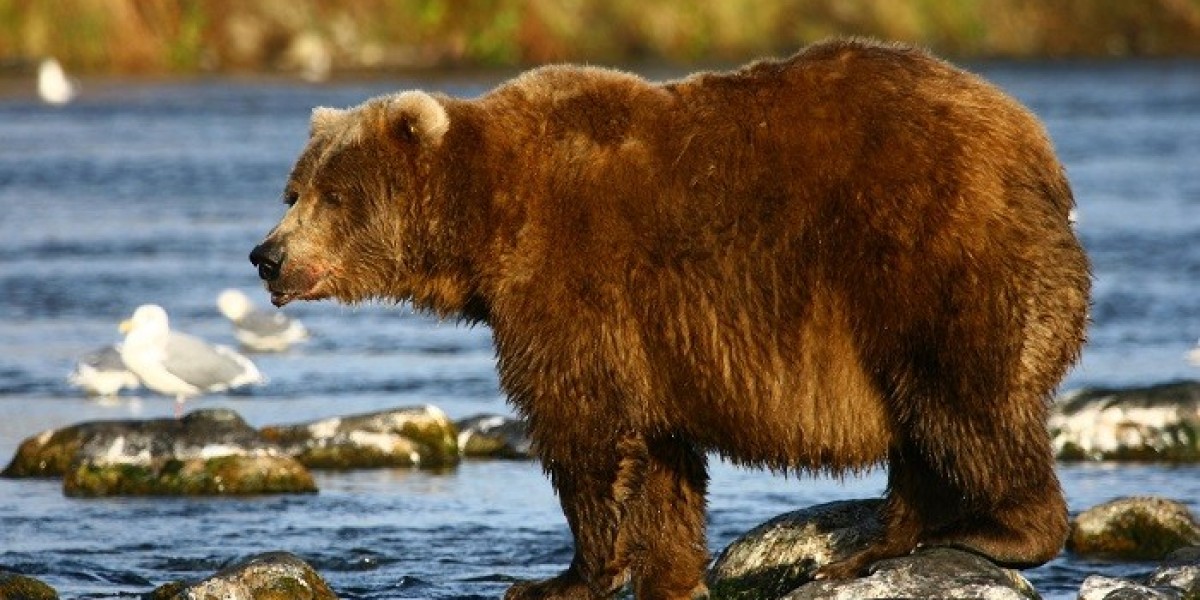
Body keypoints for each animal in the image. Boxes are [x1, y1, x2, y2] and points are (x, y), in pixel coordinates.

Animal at [250, 38, 1090, 599]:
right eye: (294, 190)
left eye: (333, 195)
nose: (266, 255)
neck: (486, 225)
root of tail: (1041, 155)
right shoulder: (650, 337)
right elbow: (659, 457)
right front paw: (672, 572)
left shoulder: (572, 277)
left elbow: (582, 428)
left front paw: (561, 577)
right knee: (923, 427)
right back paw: (875, 547)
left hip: (927, 258)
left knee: (963, 401)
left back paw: (994, 528)